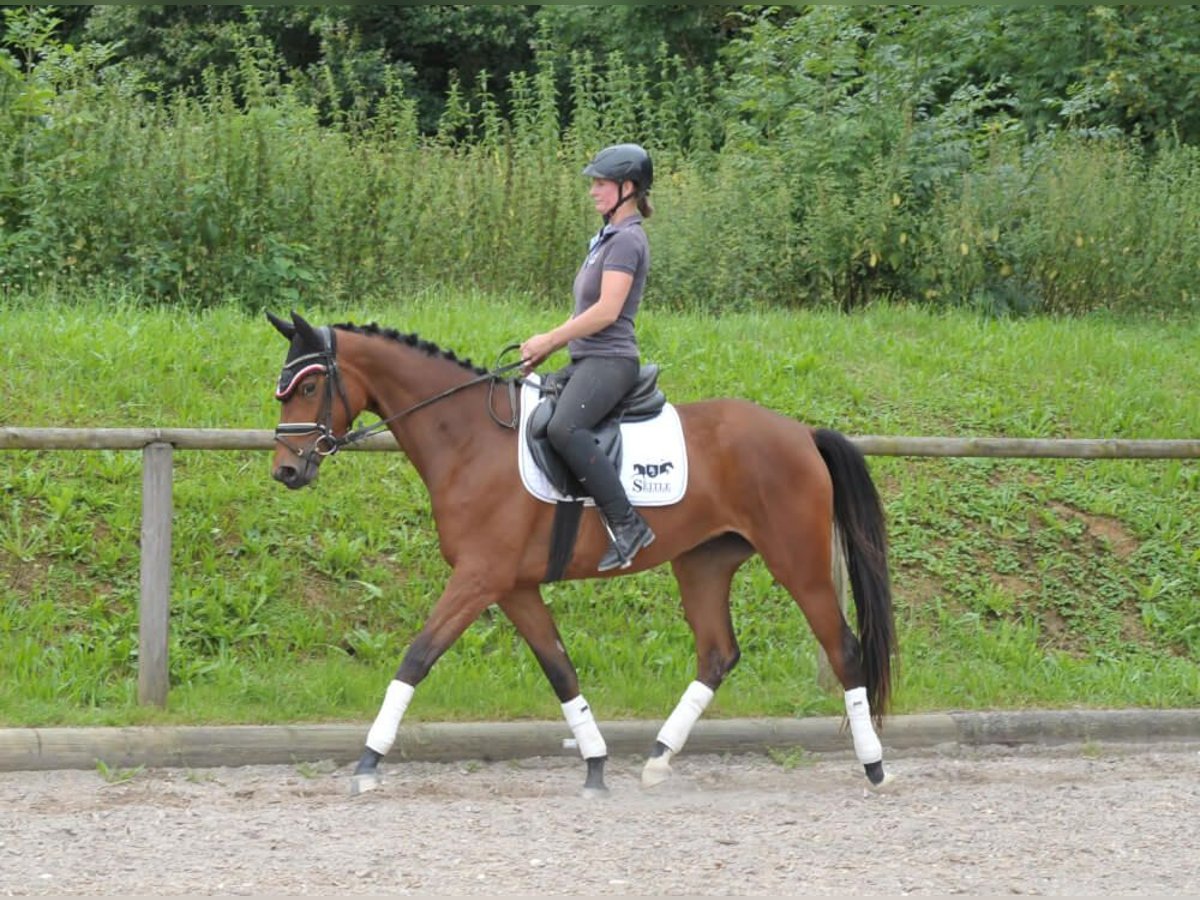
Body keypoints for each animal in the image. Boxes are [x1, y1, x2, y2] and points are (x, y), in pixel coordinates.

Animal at [267, 314, 897, 801]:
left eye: (309, 387)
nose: (286, 471)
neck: (468, 438)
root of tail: (801, 433)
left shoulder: (478, 578)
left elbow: (417, 658)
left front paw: (367, 763)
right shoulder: (513, 586)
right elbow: (560, 668)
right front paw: (595, 764)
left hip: (797, 561)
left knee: (843, 647)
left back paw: (874, 767)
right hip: (702, 563)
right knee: (718, 654)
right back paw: (658, 759)